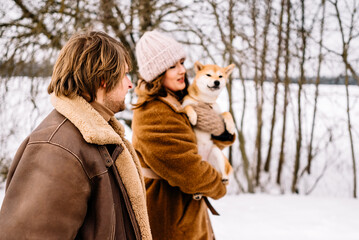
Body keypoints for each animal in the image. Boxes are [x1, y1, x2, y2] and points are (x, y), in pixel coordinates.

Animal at [183, 61, 236, 199]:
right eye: (209, 75)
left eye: (220, 76)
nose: (216, 82)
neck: (205, 102)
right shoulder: (183, 105)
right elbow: (188, 107)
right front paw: (193, 116)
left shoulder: (217, 114)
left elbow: (227, 113)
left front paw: (231, 126)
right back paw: (197, 193)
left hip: (216, 153)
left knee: (223, 176)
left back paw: (224, 179)